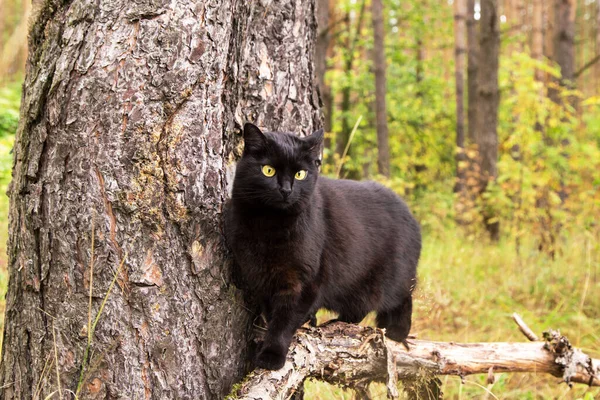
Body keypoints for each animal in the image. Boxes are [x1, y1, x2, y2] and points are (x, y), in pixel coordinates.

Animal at [225, 123, 422, 370]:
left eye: (300, 174)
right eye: (268, 170)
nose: (286, 190)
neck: (269, 226)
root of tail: (413, 218)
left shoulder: (303, 281)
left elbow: (284, 321)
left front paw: (272, 355)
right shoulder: (260, 276)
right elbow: (272, 314)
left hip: (391, 279)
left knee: (402, 299)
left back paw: (396, 333)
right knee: (358, 309)